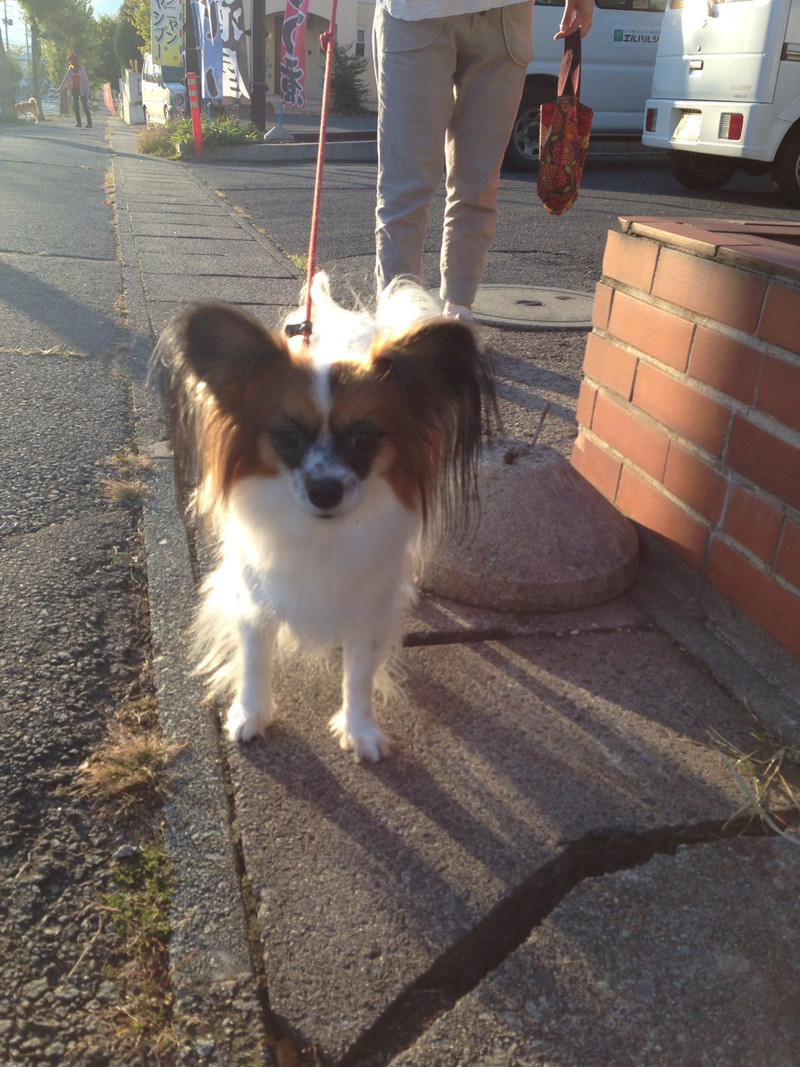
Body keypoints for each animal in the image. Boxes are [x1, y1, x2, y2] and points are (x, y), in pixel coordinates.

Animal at [152, 274, 494, 760]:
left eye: (364, 439)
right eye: (288, 436)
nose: (325, 491)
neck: (320, 535)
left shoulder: (367, 610)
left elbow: (360, 675)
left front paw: (360, 730)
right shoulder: (254, 599)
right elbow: (254, 658)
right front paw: (250, 714)